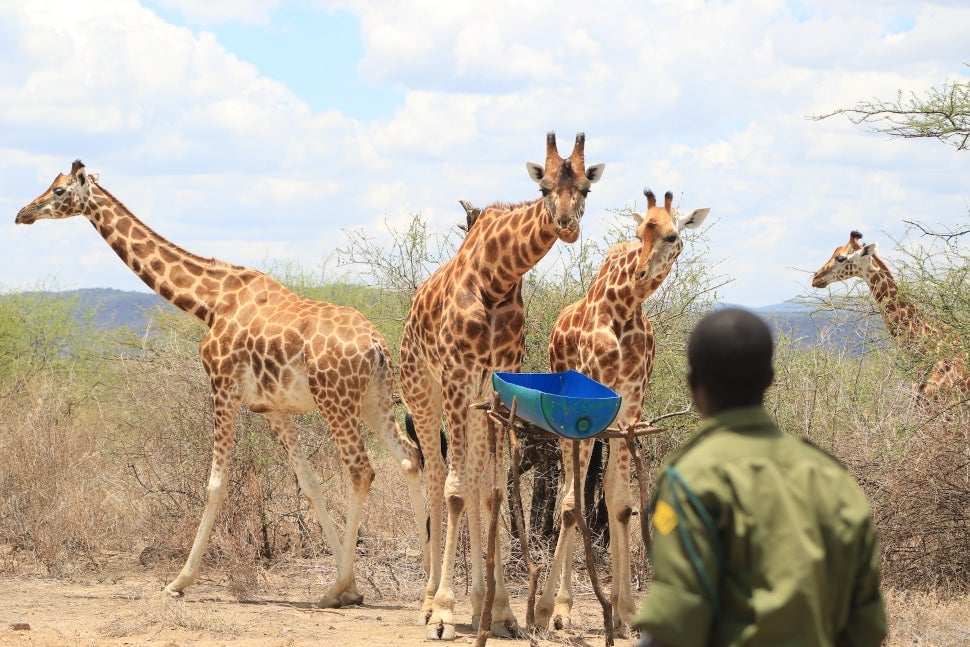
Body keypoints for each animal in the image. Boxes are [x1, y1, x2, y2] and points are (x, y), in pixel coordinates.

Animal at [15, 160, 428, 607]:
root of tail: (377, 347)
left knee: (361, 471)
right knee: (409, 457)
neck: (209, 302)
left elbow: (215, 482)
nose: (22, 213)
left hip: (336, 401)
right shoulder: (272, 407)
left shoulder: (222, 385)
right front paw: (350, 584)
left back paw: (341, 591)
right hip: (374, 399)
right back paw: (427, 578)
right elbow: (309, 483)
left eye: (58, 191)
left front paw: (180, 581)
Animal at [400, 132, 605, 640]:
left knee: (473, 480)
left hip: (471, 399)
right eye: (545, 187)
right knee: (437, 476)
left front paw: (504, 612)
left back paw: (479, 604)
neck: (497, 277)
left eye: (586, 190)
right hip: (423, 389)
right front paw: (445, 613)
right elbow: (455, 489)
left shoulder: (495, 378)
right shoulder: (456, 372)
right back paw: (427, 603)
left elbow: (491, 490)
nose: (567, 226)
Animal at [539, 189, 709, 633]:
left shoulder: (630, 406)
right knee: (569, 494)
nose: (641, 273)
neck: (625, 308)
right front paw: (549, 608)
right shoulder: (584, 401)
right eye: (638, 233)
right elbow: (573, 503)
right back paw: (560, 606)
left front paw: (627, 610)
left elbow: (620, 503)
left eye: (672, 235)